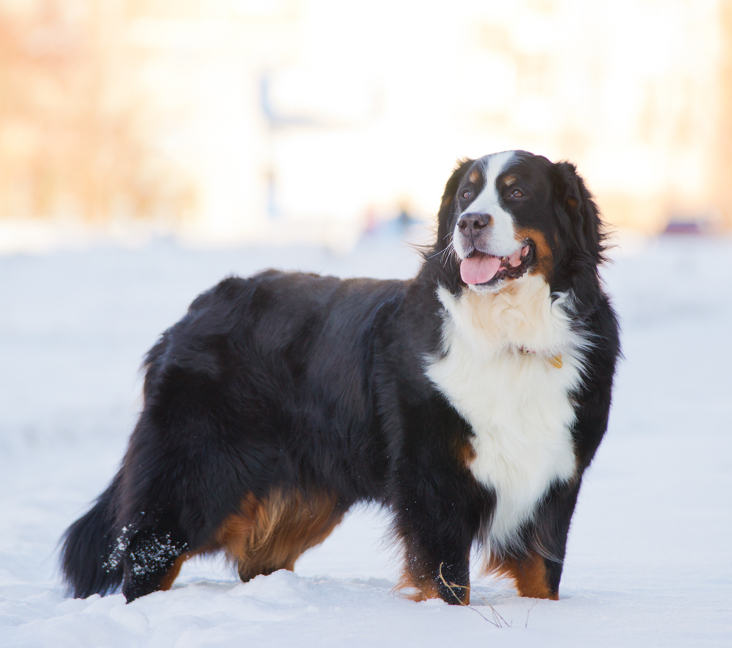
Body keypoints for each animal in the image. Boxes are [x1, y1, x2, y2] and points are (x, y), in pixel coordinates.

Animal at [61, 151, 616, 604]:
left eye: (517, 192)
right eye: (465, 193)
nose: (470, 222)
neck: (510, 336)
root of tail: (194, 311)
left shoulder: (553, 482)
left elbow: (543, 579)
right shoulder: (433, 482)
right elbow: (447, 583)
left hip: (302, 500)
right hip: (193, 479)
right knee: (148, 553)